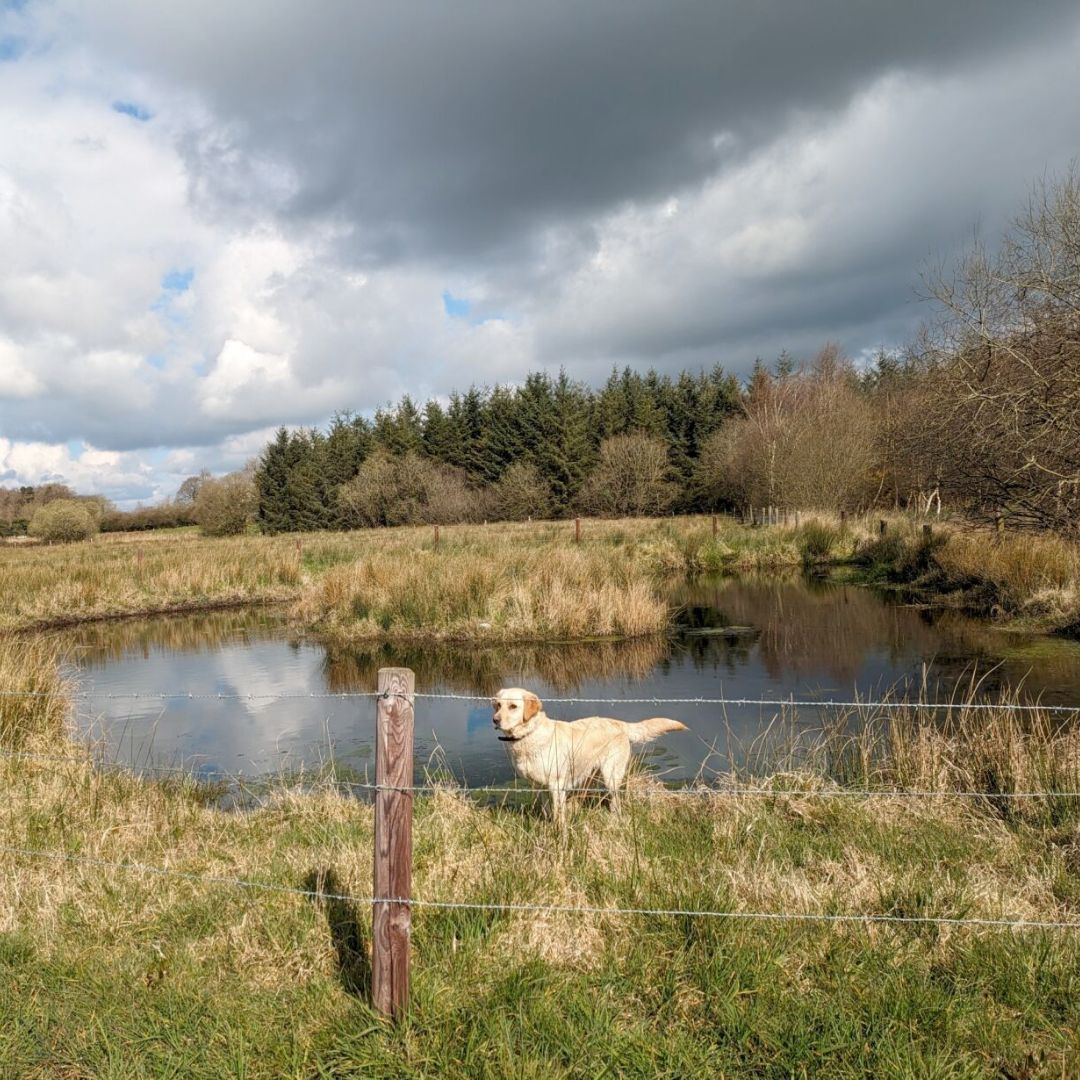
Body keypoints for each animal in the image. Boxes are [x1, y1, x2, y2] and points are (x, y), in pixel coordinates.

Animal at [494, 686, 686, 820]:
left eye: (513, 706)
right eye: (498, 705)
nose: (495, 720)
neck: (529, 734)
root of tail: (619, 723)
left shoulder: (557, 785)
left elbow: (559, 816)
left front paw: (559, 835)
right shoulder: (537, 786)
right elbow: (547, 810)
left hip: (610, 775)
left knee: (616, 802)